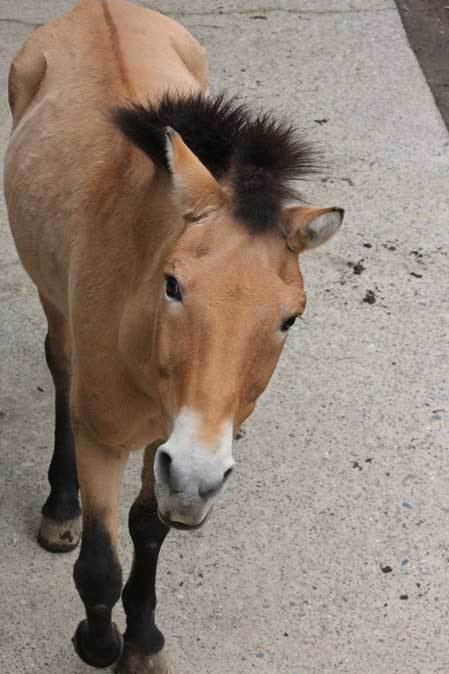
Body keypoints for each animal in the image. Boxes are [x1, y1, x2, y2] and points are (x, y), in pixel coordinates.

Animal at [3, 0, 344, 668]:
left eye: (290, 317)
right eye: (173, 285)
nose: (196, 479)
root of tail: (96, 9)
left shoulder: (171, 440)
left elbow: (148, 528)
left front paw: (141, 639)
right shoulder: (106, 440)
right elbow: (101, 564)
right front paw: (99, 643)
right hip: (53, 302)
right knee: (61, 368)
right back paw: (60, 506)